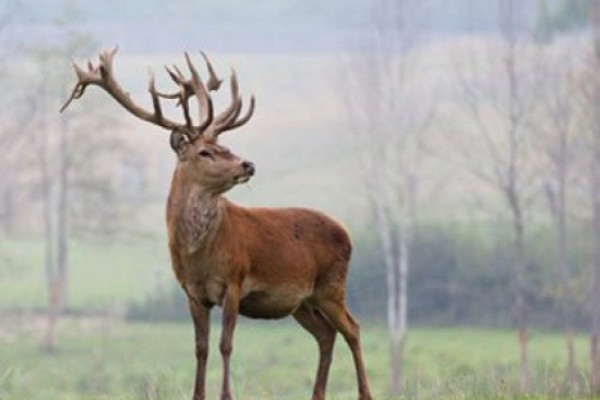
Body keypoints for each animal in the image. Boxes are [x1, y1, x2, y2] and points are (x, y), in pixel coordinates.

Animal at [59, 48, 370, 400]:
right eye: (205, 151)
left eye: (226, 146)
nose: (248, 164)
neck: (199, 255)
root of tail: (346, 233)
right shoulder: (192, 292)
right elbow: (201, 347)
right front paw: (198, 394)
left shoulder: (234, 282)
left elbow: (226, 344)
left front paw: (226, 395)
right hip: (302, 301)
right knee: (326, 334)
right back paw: (317, 394)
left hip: (332, 285)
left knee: (353, 328)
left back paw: (365, 393)